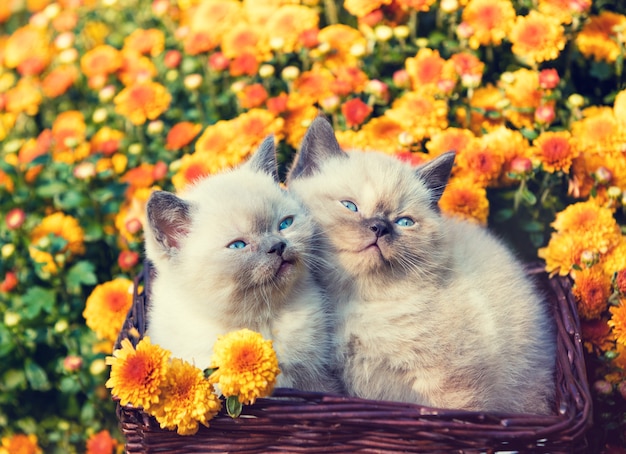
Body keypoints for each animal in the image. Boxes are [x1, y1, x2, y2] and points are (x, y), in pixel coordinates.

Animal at [286, 118, 552, 414]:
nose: (380, 227)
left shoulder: (448, 386)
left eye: (404, 222)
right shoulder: (330, 378)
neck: (354, 301)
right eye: (350, 206)